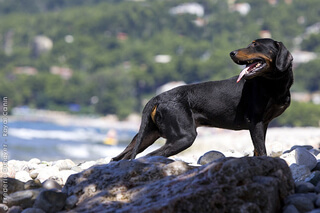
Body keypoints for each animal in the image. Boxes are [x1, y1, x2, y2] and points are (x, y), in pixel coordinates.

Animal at [112, 38, 292, 161]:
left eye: (255, 45)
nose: (232, 53)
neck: (273, 84)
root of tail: (157, 98)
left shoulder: (263, 123)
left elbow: (257, 150)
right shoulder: (255, 122)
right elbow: (261, 150)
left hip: (148, 134)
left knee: (122, 156)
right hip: (183, 136)